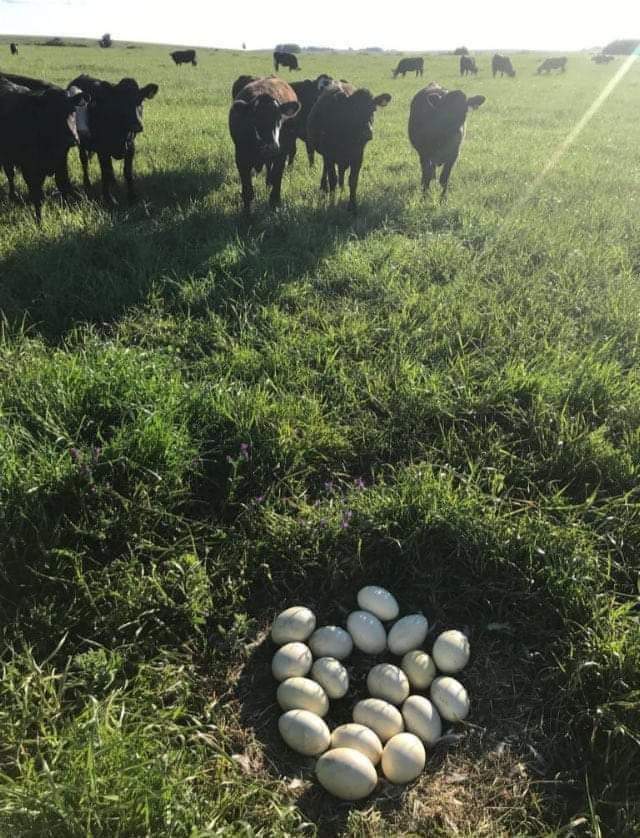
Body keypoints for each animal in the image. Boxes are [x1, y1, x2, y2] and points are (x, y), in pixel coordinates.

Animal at [0, 76, 86, 221]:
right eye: (50, 114)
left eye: (73, 111)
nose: (72, 139)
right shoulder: (29, 168)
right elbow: (37, 194)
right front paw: (39, 221)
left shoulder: (61, 163)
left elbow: (64, 186)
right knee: (10, 174)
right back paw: (13, 196)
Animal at [67, 74, 159, 206]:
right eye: (120, 102)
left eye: (140, 100)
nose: (137, 125)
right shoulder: (102, 150)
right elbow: (106, 172)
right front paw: (109, 199)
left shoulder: (130, 147)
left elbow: (127, 172)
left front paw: (132, 196)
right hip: (81, 142)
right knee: (84, 160)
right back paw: (87, 183)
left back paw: (114, 183)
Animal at [229, 75, 300, 212]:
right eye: (254, 118)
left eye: (279, 118)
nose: (270, 146)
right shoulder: (241, 159)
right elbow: (247, 192)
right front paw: (246, 214)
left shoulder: (281, 156)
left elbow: (277, 182)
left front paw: (274, 205)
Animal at [307, 81, 391, 212]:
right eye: (354, 110)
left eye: (373, 109)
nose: (368, 132)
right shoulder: (329, 155)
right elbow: (333, 179)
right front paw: (332, 204)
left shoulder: (358, 155)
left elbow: (353, 180)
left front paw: (352, 205)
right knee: (327, 171)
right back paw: (324, 188)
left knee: (341, 173)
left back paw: (341, 188)